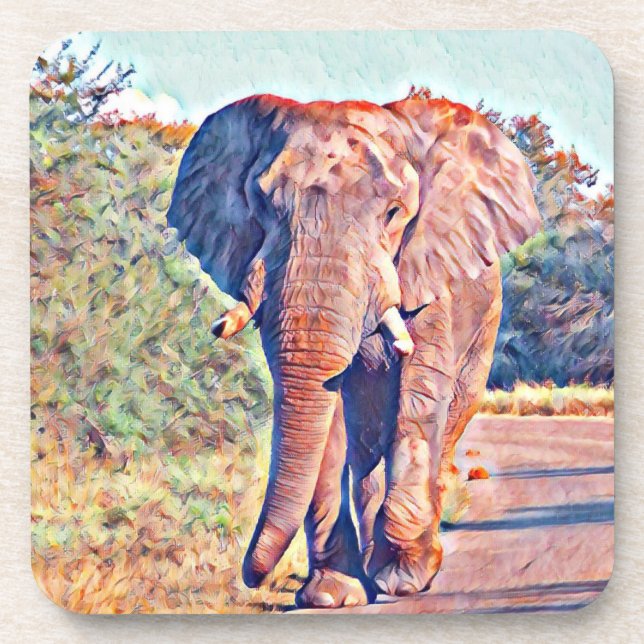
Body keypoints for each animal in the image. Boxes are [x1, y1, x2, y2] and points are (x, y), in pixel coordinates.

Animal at [166, 93, 541, 608]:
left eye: (394, 213)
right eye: (261, 204)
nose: (251, 577)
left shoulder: (430, 271)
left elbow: (418, 397)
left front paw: (402, 580)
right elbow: (328, 419)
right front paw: (331, 596)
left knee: (440, 426)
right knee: (364, 451)